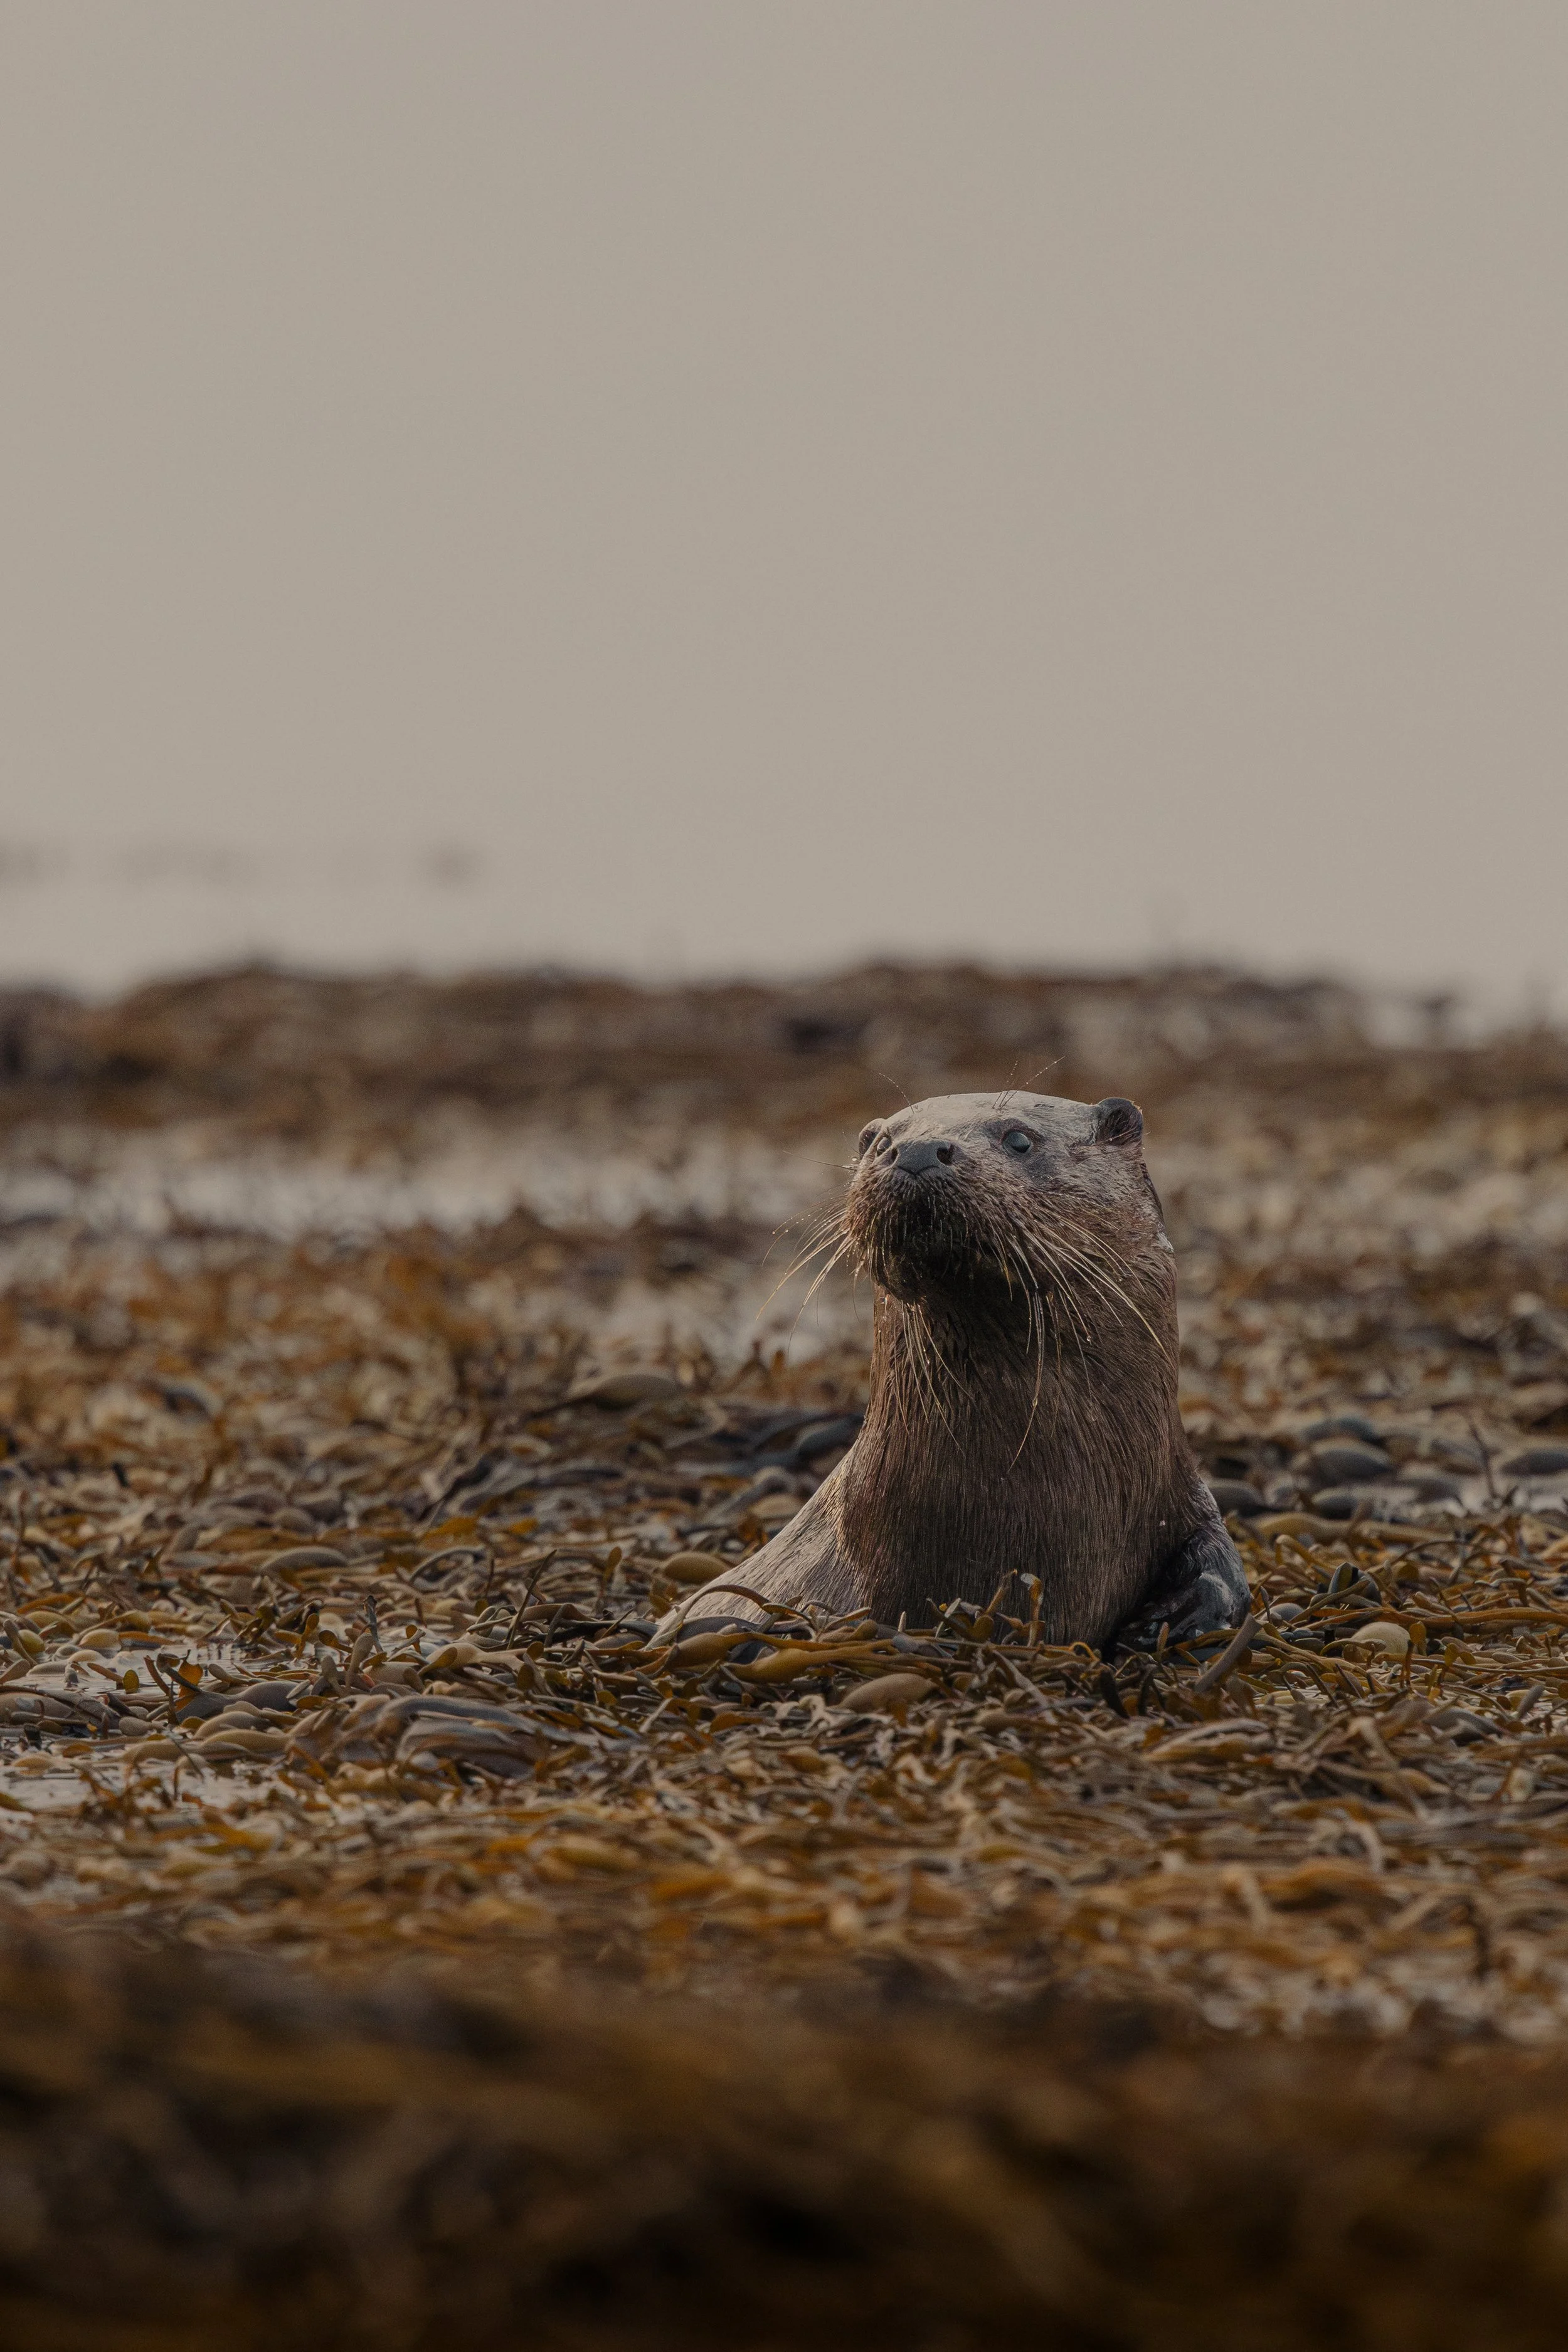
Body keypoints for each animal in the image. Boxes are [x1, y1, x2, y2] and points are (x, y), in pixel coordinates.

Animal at [681, 1091, 1248, 1651]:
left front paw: (1170, 1621)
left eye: (1019, 1138)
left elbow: (1223, 1570)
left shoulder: (1180, 1491)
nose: (916, 1151)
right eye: (884, 1141)